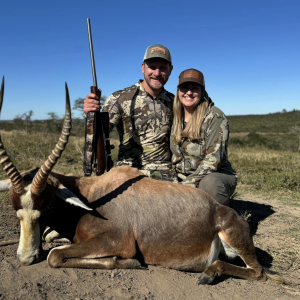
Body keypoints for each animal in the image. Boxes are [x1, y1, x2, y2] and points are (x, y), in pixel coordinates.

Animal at [0, 77, 284, 284]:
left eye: (45, 205)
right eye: (16, 209)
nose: (25, 258)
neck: (91, 197)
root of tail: (221, 211)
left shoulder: (118, 240)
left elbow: (55, 255)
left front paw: (129, 262)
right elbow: (52, 243)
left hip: (234, 238)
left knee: (257, 272)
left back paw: (208, 273)